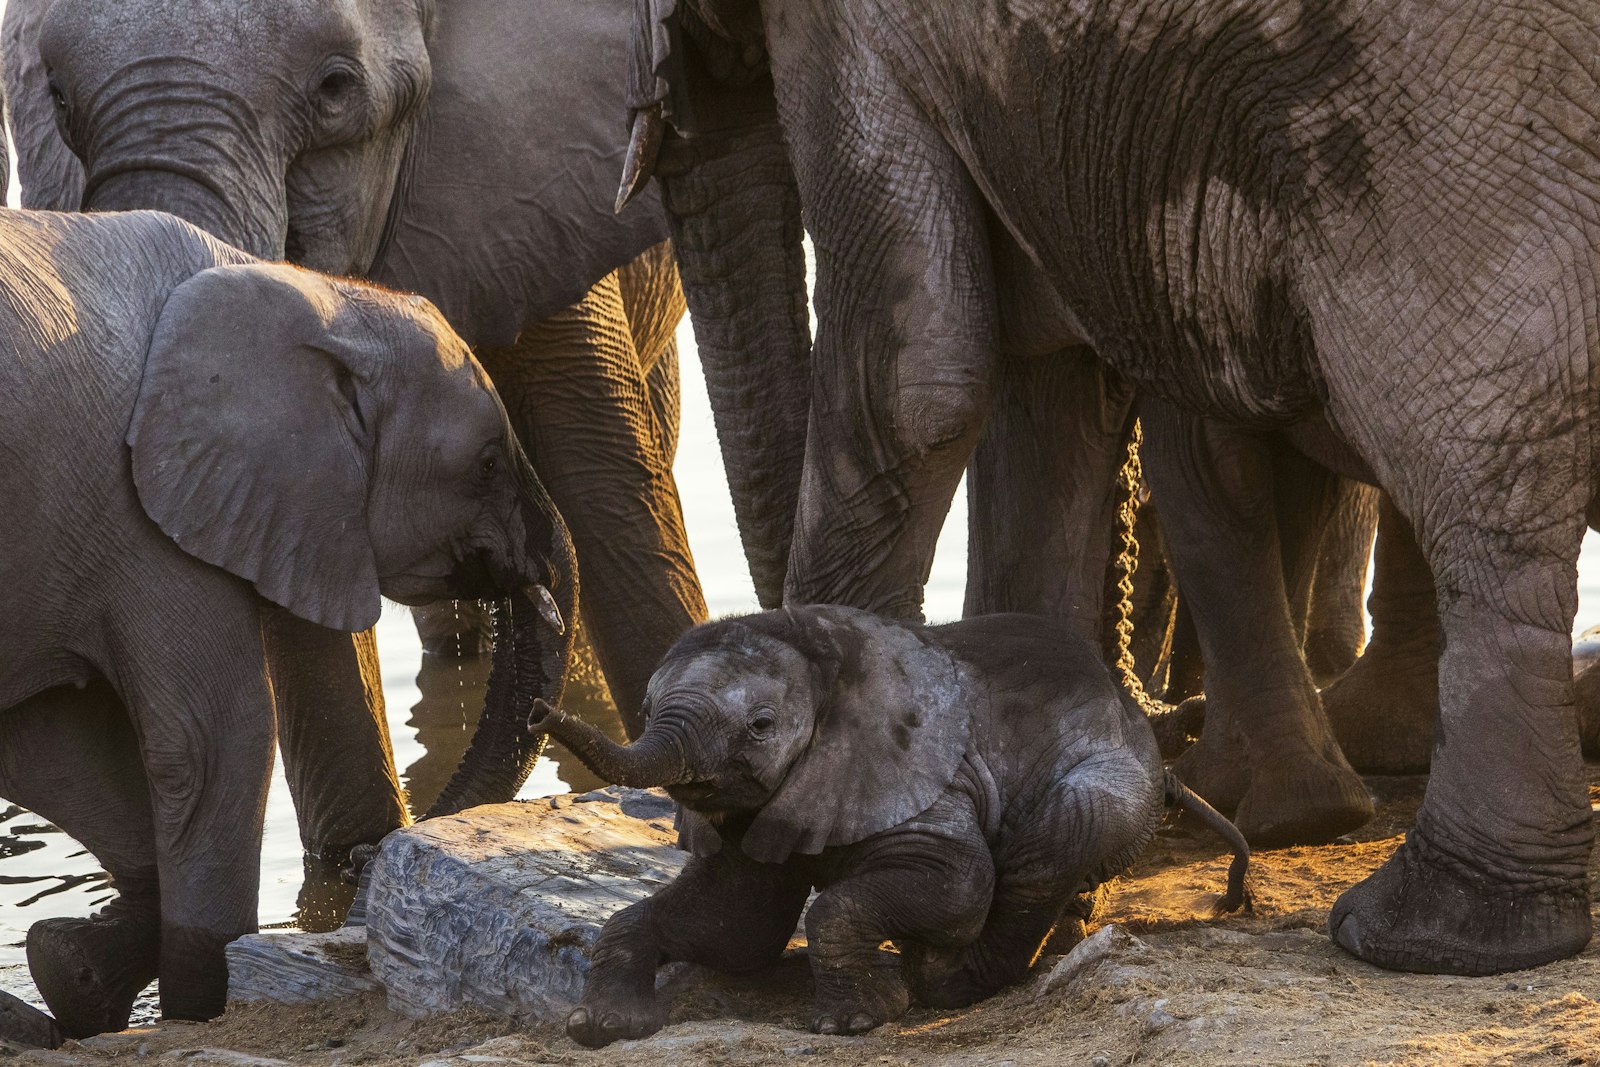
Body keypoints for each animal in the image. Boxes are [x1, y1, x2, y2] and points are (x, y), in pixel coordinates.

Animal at [0, 207, 576, 1037]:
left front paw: (74, 971)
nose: (368, 861)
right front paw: (195, 1008)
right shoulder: (147, 514)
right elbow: (216, 740)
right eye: (489, 463)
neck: (310, 296)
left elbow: (50, 742)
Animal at [529, 606, 1249, 1046]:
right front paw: (600, 1025)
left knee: (1067, 827)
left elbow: (956, 884)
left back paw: (945, 975)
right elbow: (735, 923)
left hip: (1114, 772)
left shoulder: (926, 775)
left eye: (760, 725)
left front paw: (854, 1021)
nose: (539, 708)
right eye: (648, 706)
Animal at [621, 0, 1600, 977]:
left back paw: (1425, 933)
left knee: (1469, 470)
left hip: (1434, 130)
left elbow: (912, 378)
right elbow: (1046, 397)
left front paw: (723, 916)